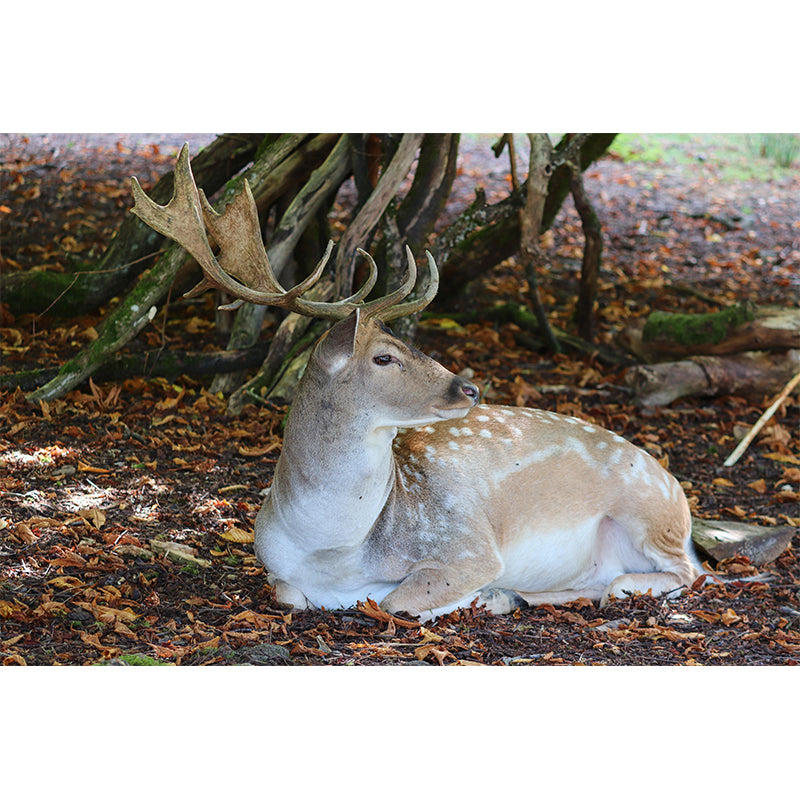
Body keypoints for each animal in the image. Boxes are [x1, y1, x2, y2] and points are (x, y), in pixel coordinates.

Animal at [130, 144, 703, 620]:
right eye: (385, 357)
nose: (469, 389)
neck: (334, 551)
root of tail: (679, 491)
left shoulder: (468, 546)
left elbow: (396, 601)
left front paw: (480, 595)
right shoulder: (277, 570)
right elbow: (291, 594)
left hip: (649, 513)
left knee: (686, 574)